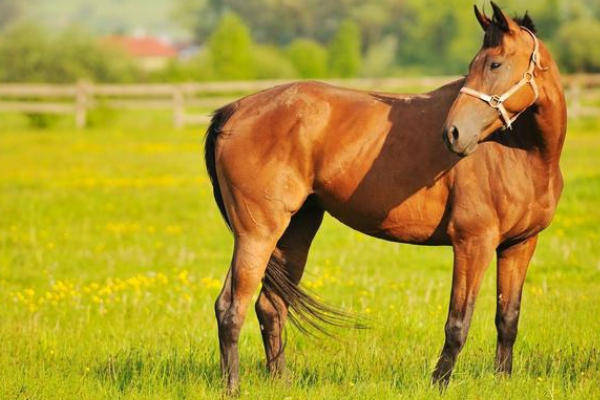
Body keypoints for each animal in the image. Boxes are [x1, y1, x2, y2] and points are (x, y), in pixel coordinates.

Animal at [204, 1, 564, 392]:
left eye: (494, 64)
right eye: (474, 65)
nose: (453, 134)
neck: (521, 151)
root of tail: (233, 111)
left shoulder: (520, 245)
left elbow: (508, 318)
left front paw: (502, 380)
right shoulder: (473, 243)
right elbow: (458, 322)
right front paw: (439, 383)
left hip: (294, 230)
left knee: (270, 306)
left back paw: (281, 383)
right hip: (257, 234)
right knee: (231, 307)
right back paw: (232, 387)